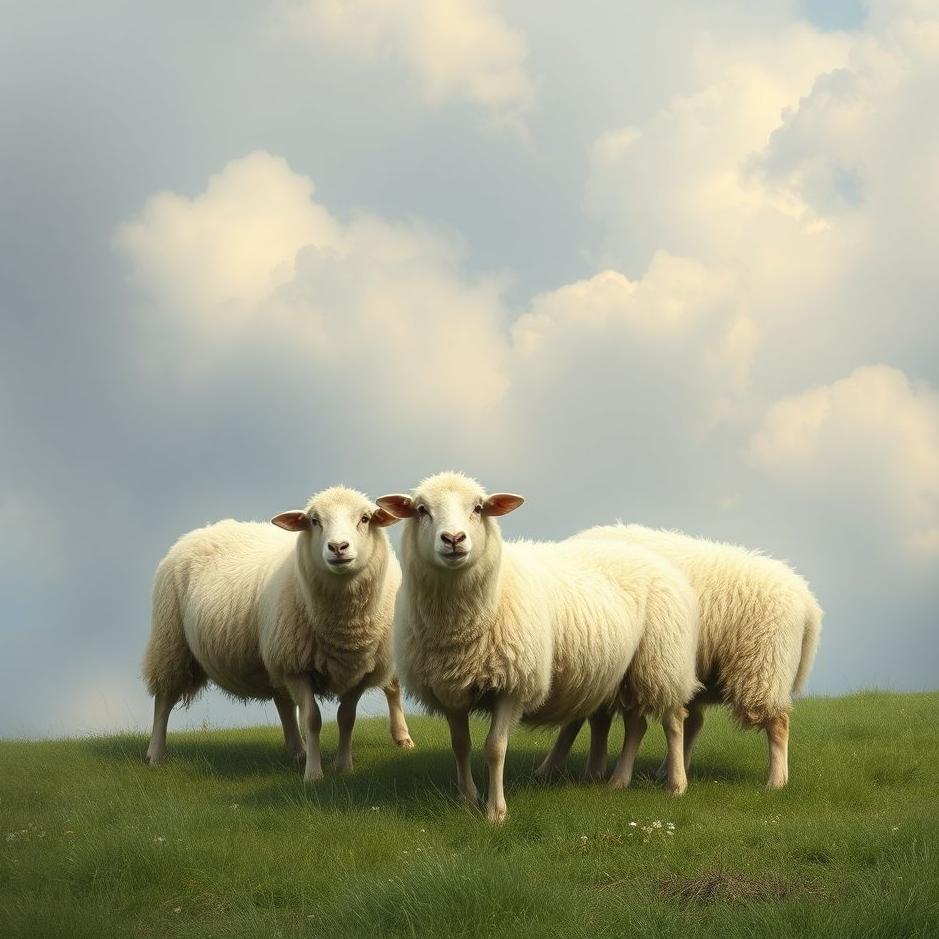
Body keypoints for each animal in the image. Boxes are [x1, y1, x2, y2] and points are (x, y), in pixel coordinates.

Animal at [142, 486, 415, 778]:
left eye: (365, 518)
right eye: (314, 521)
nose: (338, 547)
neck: (345, 629)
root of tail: (198, 532)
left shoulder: (361, 672)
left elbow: (346, 719)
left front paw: (343, 767)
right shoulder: (296, 667)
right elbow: (312, 719)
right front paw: (314, 775)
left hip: (270, 653)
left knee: (284, 701)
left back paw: (299, 751)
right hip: (171, 640)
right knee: (164, 699)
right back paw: (155, 754)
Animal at [376, 472, 700, 822]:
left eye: (478, 508)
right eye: (421, 510)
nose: (453, 539)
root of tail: (654, 557)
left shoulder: (512, 684)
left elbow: (495, 748)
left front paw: (496, 812)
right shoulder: (448, 690)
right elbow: (460, 745)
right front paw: (467, 799)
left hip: (663, 659)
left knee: (674, 719)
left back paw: (676, 784)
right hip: (627, 671)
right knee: (636, 724)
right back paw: (618, 781)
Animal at [541, 524, 822, 789]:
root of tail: (808, 601)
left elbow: (580, 720)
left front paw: (557, 768)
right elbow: (592, 720)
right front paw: (588, 770)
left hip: (762, 666)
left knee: (778, 723)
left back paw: (776, 781)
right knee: (694, 720)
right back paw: (669, 770)